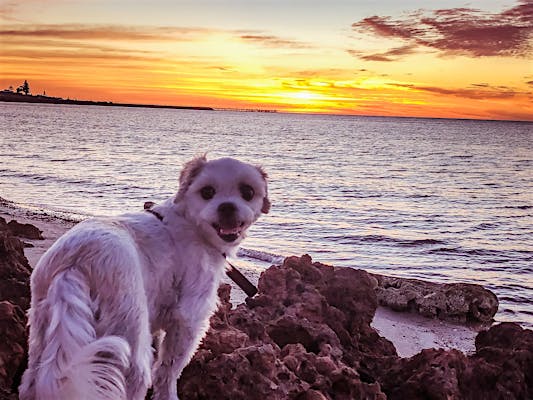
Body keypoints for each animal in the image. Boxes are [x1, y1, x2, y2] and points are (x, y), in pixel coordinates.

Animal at [19, 156, 270, 400]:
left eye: (247, 192)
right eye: (207, 192)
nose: (227, 207)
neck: (192, 222)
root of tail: (76, 261)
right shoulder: (189, 317)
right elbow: (169, 370)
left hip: (42, 326)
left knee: (30, 381)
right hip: (127, 331)